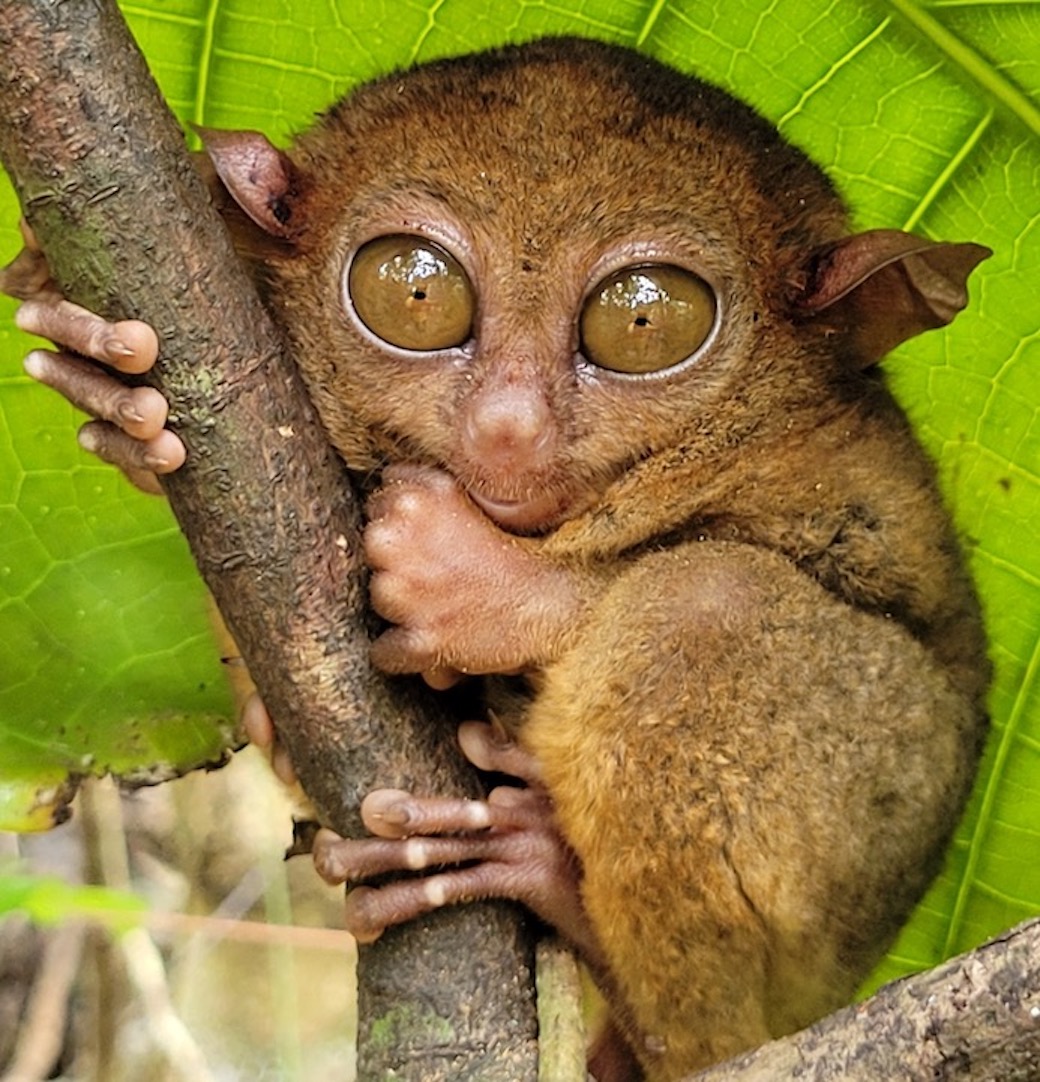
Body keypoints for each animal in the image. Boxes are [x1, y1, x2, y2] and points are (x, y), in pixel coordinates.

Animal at [3, 37, 991, 1081]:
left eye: (645, 322)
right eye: (416, 292)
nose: (507, 426)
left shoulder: (823, 474)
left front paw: (463, 582)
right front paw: (100, 370)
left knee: (701, 604)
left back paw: (562, 899)